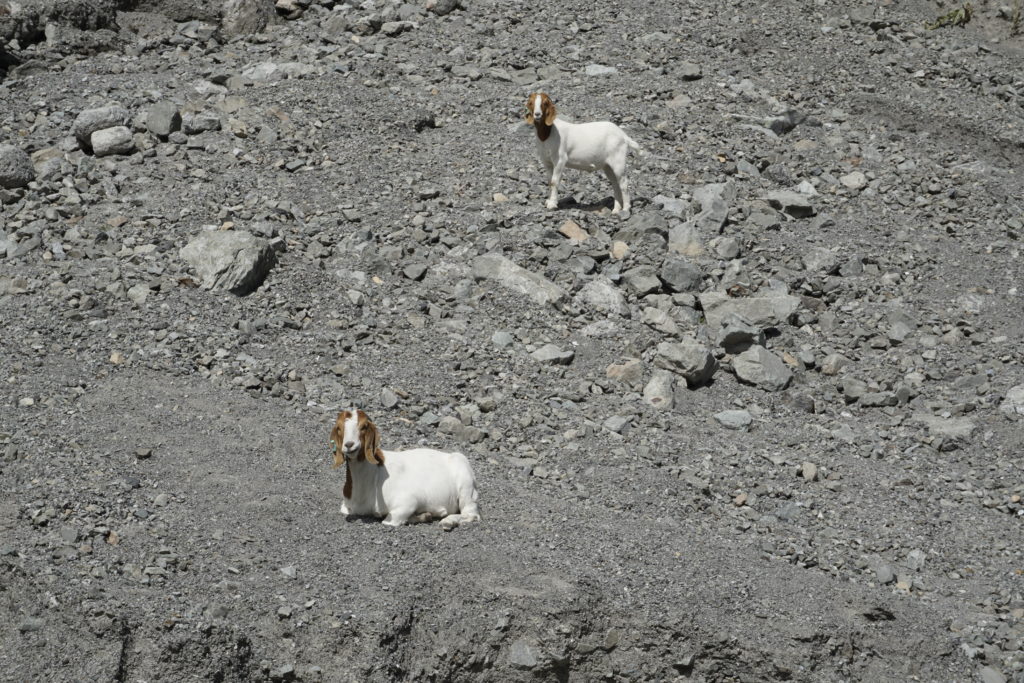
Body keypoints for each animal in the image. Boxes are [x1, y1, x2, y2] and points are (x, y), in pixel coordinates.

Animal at [330, 408, 481, 530]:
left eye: (363, 426)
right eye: (339, 427)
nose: (349, 445)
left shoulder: (407, 502)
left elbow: (389, 520)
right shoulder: (347, 507)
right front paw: (426, 515)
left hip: (465, 487)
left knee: (471, 514)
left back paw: (448, 522)